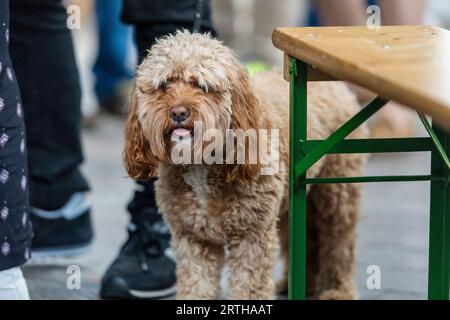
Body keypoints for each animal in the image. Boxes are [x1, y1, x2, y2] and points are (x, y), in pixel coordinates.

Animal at [124, 31, 370, 298]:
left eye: (201, 85)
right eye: (165, 84)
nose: (178, 112)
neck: (202, 163)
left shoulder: (252, 237)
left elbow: (249, 286)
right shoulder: (193, 239)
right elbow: (197, 285)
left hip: (337, 193)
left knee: (339, 244)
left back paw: (337, 289)